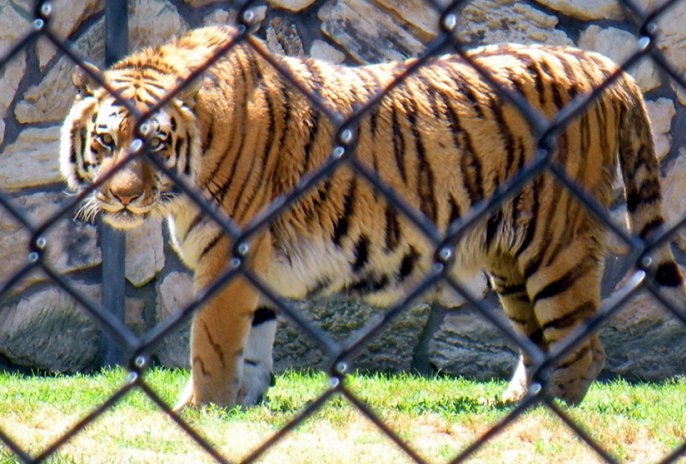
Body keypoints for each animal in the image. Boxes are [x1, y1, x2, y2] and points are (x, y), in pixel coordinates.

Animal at [60, 26, 686, 410]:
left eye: (156, 144)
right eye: (106, 140)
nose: (121, 198)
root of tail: (601, 61)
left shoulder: (227, 255)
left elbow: (211, 341)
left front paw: (200, 408)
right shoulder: (253, 261)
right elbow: (252, 341)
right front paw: (243, 405)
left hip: (556, 244)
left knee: (584, 347)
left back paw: (551, 412)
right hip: (511, 260)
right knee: (541, 340)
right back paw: (516, 402)